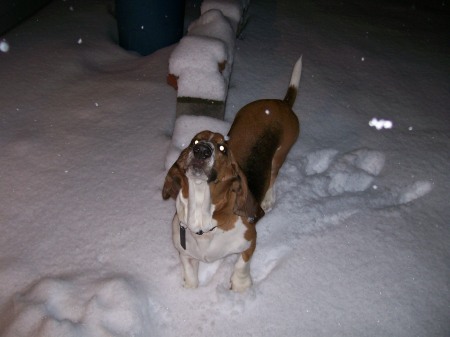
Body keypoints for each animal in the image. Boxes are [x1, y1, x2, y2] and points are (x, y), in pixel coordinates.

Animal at [163, 56, 302, 290]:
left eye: (223, 149)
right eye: (194, 141)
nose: (202, 150)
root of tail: (279, 103)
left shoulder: (250, 240)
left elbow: (241, 265)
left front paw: (240, 286)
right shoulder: (184, 251)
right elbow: (190, 272)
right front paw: (189, 289)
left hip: (281, 154)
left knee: (273, 175)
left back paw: (268, 200)